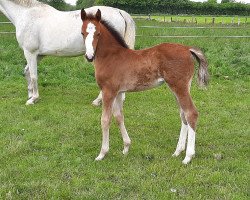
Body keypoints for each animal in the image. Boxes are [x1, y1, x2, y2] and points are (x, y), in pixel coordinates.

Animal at [0, 0, 135, 105]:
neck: (26, 14)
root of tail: (119, 11)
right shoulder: (38, 55)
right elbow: (27, 72)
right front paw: (30, 94)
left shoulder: (30, 52)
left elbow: (33, 76)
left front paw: (33, 99)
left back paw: (98, 100)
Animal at [80, 9, 209, 164]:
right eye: (82, 33)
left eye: (98, 33)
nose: (89, 56)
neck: (111, 56)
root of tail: (187, 49)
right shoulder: (118, 92)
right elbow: (119, 117)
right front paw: (126, 148)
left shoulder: (108, 91)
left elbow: (105, 120)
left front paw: (102, 153)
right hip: (180, 88)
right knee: (183, 114)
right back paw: (178, 151)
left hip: (179, 87)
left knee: (191, 113)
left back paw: (188, 156)